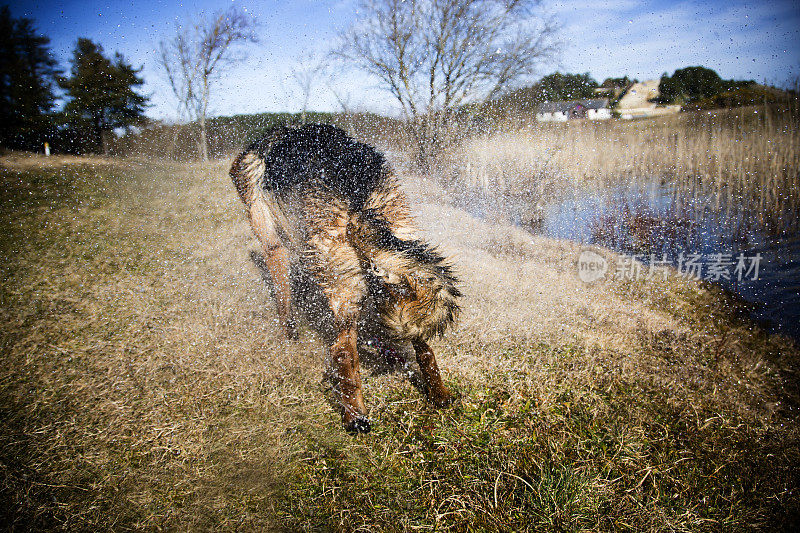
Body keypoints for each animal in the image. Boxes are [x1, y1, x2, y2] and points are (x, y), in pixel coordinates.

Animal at [228, 124, 460, 432]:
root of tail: (358, 205)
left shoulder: (273, 243)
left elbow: (284, 302)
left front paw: (290, 336)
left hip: (329, 272)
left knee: (341, 350)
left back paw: (355, 416)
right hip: (398, 255)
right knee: (421, 344)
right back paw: (439, 394)